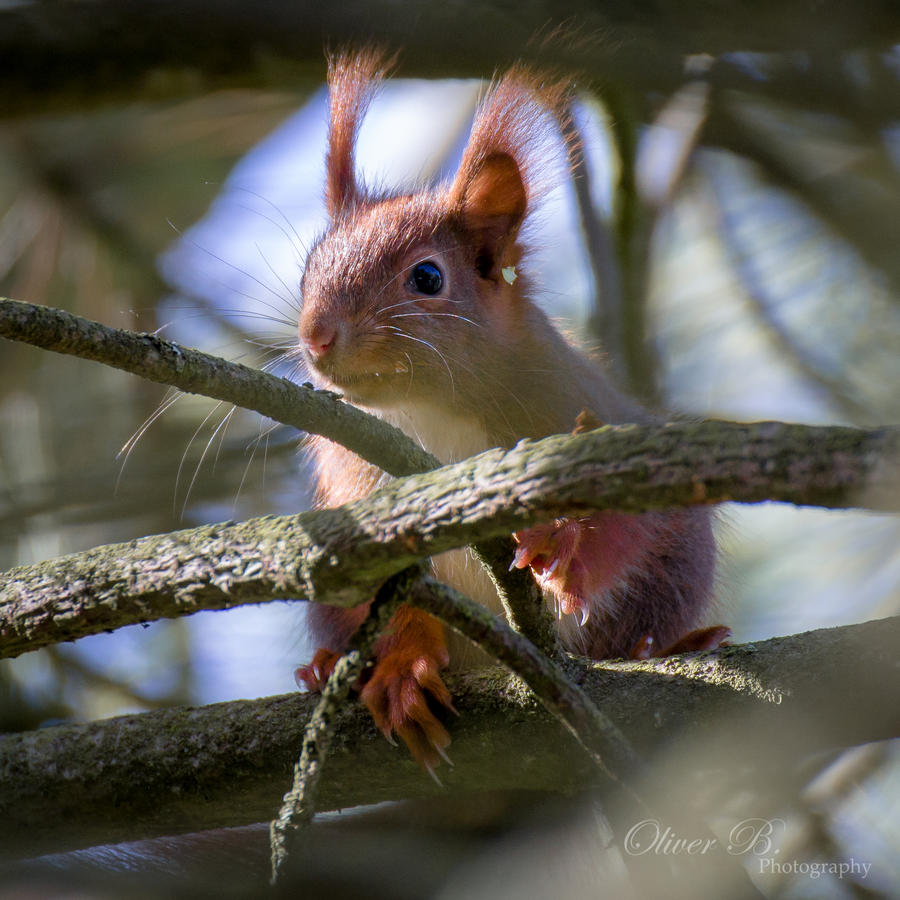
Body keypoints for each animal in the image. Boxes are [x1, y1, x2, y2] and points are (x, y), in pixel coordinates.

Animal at [292, 54, 728, 772]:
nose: (316, 335)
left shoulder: (580, 406)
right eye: (309, 267)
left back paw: (667, 645)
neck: (429, 415)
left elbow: (632, 516)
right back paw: (328, 668)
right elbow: (389, 594)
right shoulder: (352, 487)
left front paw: (569, 547)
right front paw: (404, 669)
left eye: (428, 278)